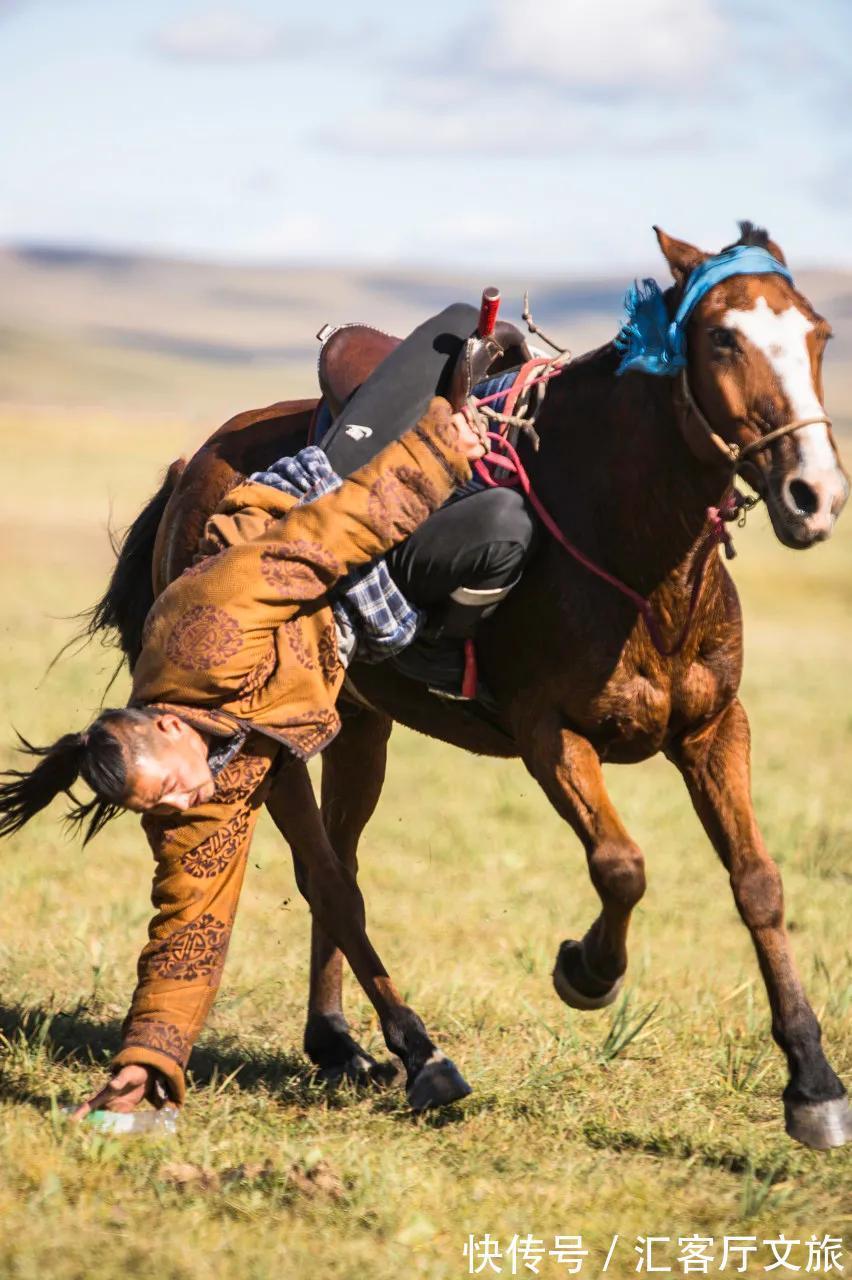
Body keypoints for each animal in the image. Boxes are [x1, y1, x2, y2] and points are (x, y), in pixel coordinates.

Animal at [87, 227, 849, 1152]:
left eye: (818, 336)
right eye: (722, 340)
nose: (814, 495)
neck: (631, 550)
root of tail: (193, 461)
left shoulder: (713, 730)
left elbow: (758, 884)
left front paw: (812, 1082)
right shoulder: (549, 735)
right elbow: (622, 866)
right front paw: (586, 971)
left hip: (359, 728)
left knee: (339, 864)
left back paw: (336, 1042)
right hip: (277, 746)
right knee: (329, 879)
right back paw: (419, 1053)